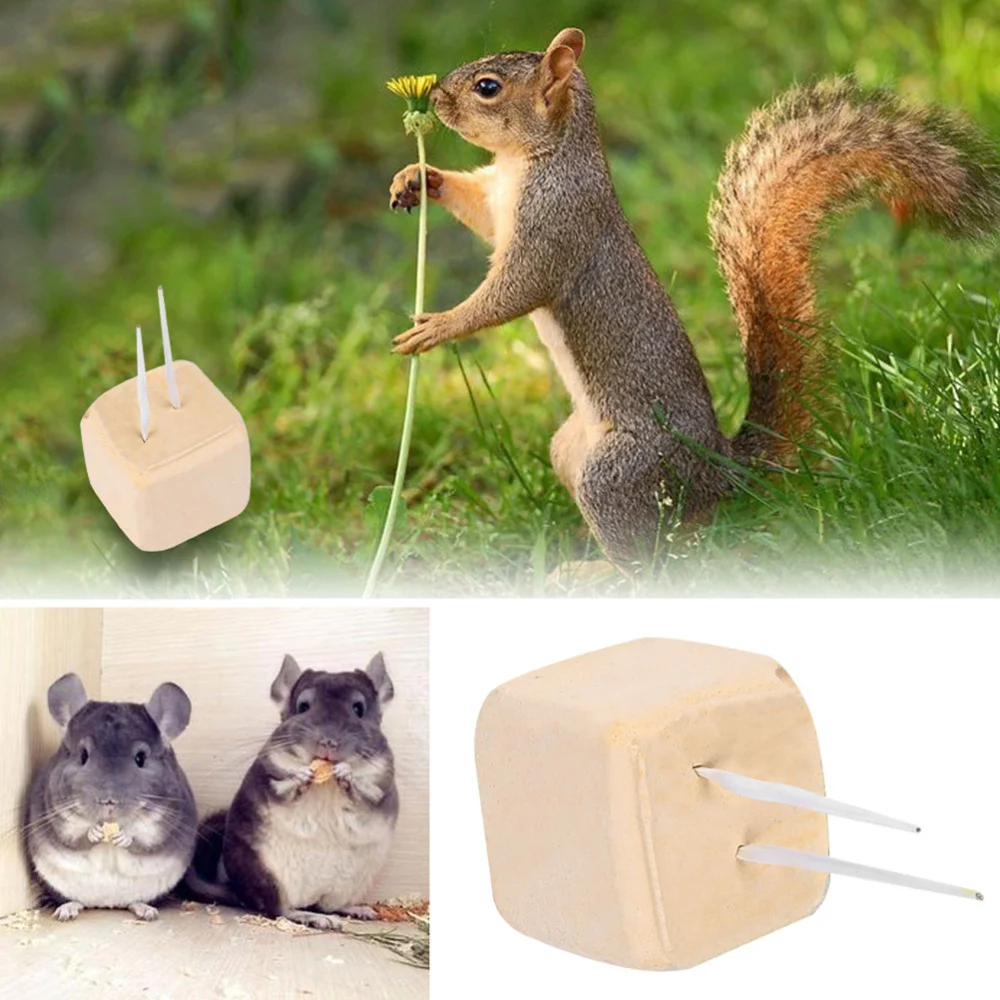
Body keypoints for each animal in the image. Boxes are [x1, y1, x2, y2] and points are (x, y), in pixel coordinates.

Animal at [26, 673, 198, 922]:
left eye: (141, 758)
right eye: (83, 755)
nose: (108, 800)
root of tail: (107, 904)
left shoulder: (164, 823)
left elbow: (144, 837)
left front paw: (124, 836)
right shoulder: (59, 817)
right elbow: (75, 836)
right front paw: (95, 832)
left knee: (134, 902)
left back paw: (147, 911)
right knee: (75, 900)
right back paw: (67, 910)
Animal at [185, 652, 398, 929]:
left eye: (358, 709)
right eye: (303, 707)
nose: (328, 743)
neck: (325, 782)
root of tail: (241, 891)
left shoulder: (382, 782)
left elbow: (365, 793)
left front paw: (346, 773)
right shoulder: (269, 772)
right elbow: (283, 788)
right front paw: (301, 777)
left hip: (350, 884)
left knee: (329, 905)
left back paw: (356, 910)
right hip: (269, 878)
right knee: (280, 910)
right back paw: (310, 916)